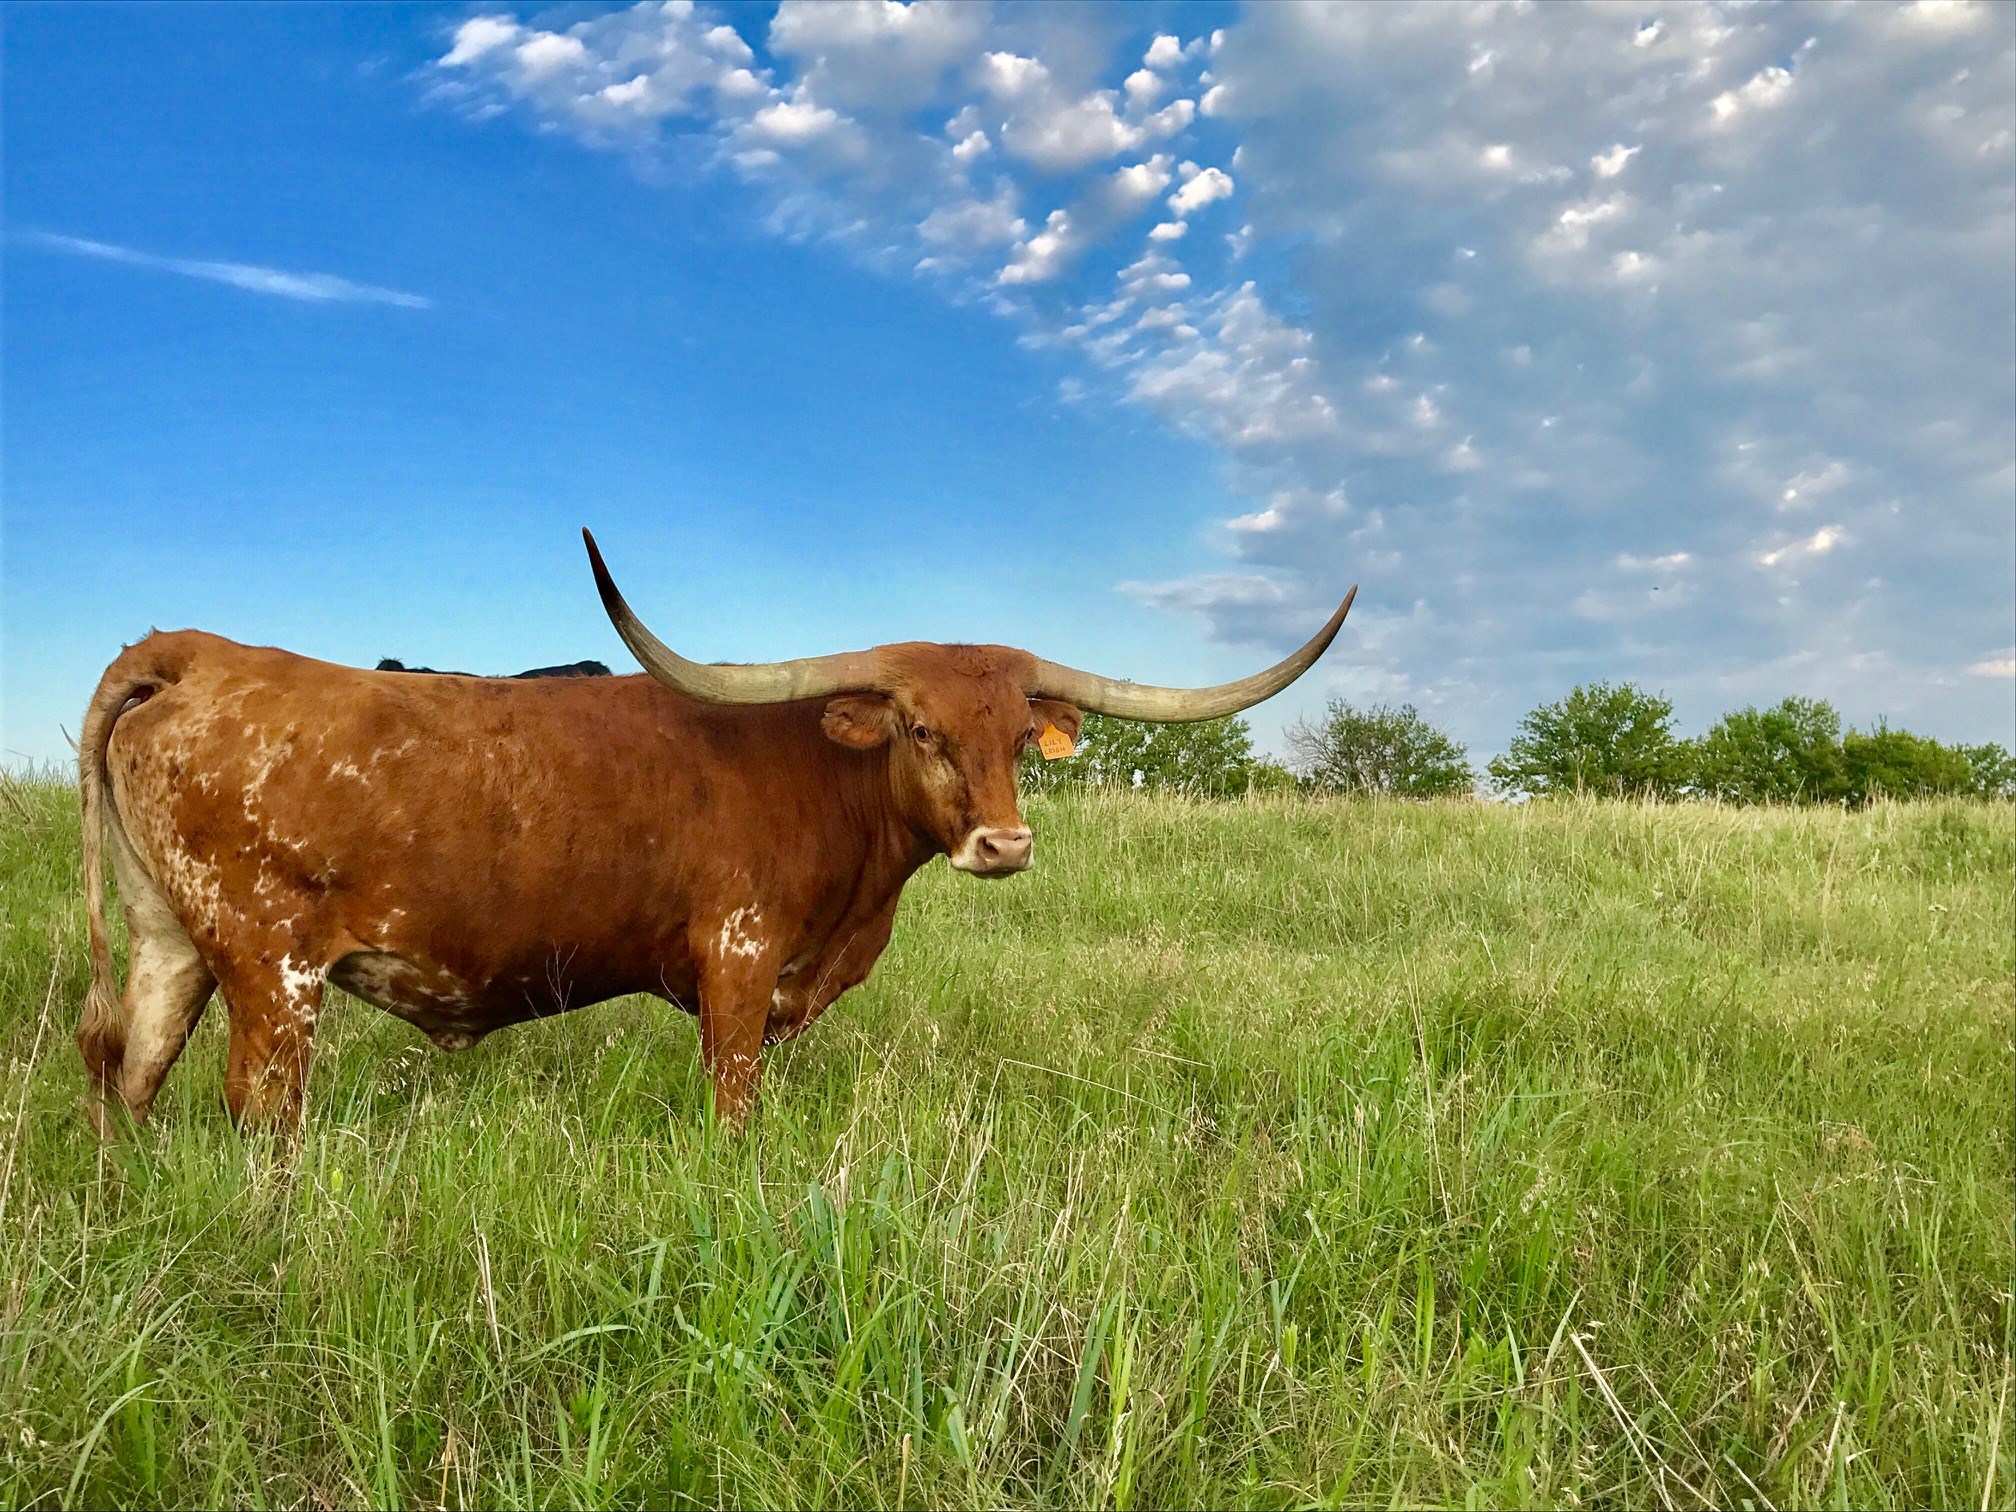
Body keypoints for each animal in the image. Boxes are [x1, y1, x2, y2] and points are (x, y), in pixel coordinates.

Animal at [76, 530, 1355, 1134]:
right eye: (923, 728)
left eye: (1011, 735)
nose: (1004, 845)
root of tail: (194, 652)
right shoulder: (738, 967)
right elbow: (733, 1112)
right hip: (269, 966)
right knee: (255, 1105)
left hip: (170, 941)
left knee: (127, 1069)